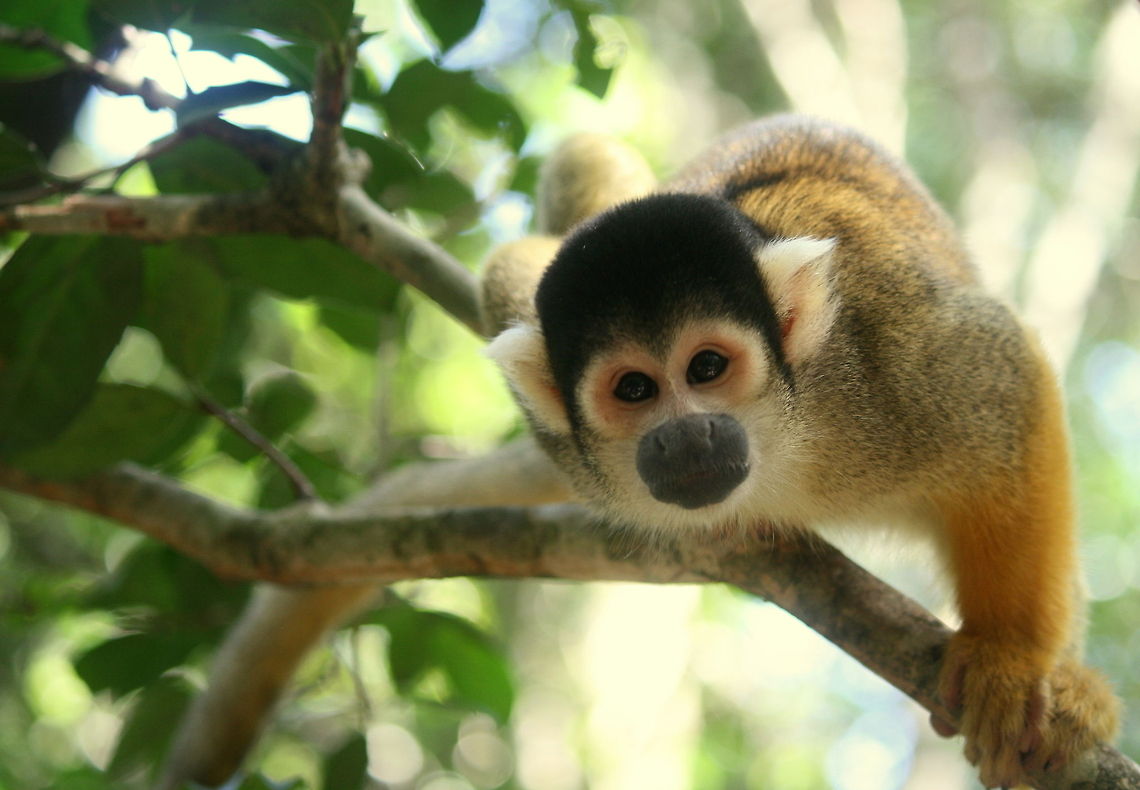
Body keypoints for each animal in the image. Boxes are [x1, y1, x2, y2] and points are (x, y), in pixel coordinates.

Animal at [482, 115, 1120, 789]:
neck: (784, 437)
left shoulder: (889, 348)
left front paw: (1008, 656)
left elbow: (1012, 381)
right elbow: (508, 263)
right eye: (634, 389)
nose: (686, 435)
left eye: (706, 367)